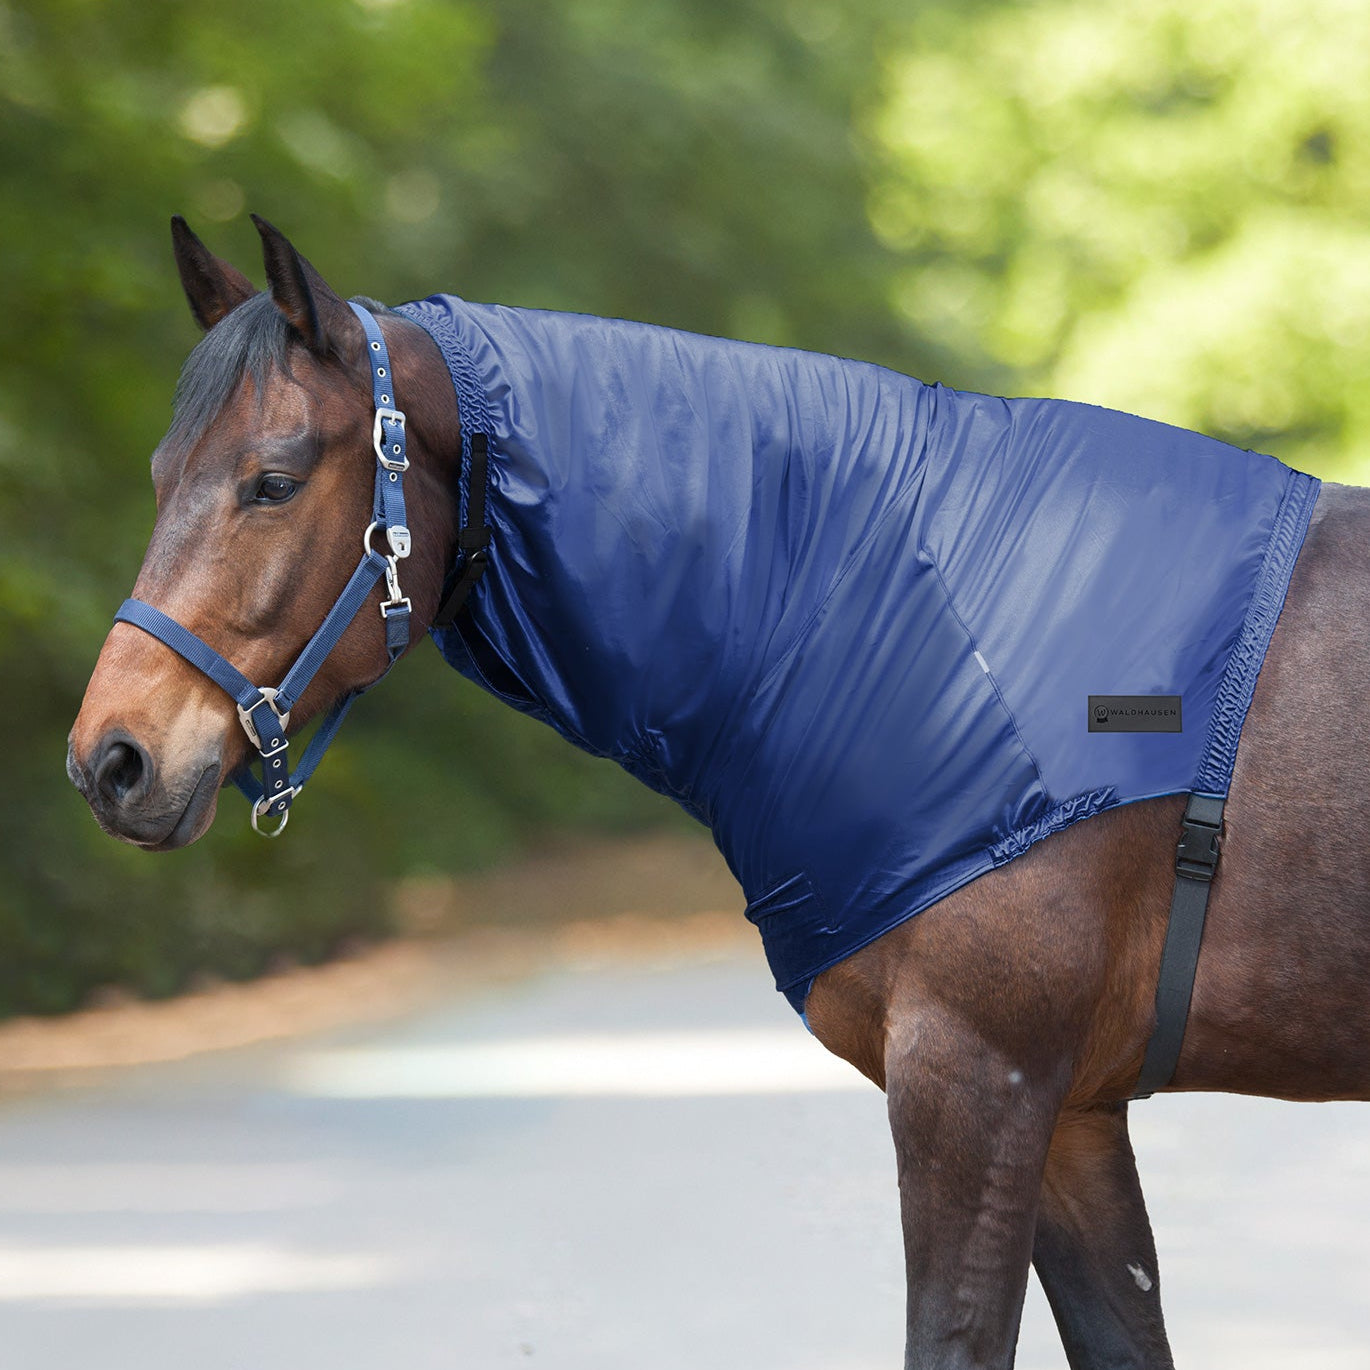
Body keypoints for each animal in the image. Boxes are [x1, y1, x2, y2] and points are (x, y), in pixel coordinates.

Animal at [66, 217, 1370, 1370]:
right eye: (159, 473)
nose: (111, 758)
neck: (915, 605)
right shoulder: (1075, 1115)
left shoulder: (978, 1081)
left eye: (274, 481)